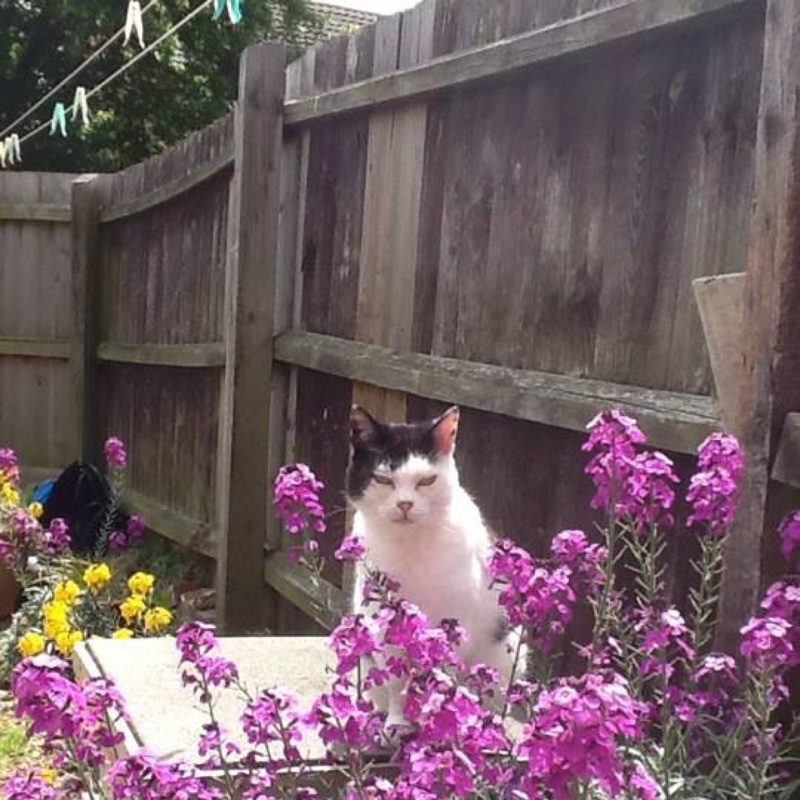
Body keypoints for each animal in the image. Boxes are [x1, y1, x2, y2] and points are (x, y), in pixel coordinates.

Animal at [346, 406, 524, 724]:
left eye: (426, 481)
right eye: (384, 480)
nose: (405, 504)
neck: (411, 546)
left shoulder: (455, 621)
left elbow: (444, 674)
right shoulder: (384, 623)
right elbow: (397, 684)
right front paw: (398, 721)